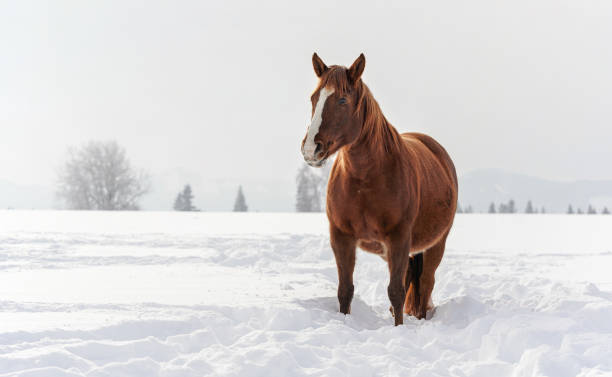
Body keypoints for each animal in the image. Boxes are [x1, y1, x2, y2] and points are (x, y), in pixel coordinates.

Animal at [298, 51, 456, 324]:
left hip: (435, 244)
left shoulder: (399, 238)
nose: (311, 149)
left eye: (342, 99)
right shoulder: (341, 237)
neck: (365, 181)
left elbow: (396, 292)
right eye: (314, 97)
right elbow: (345, 291)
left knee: (425, 285)